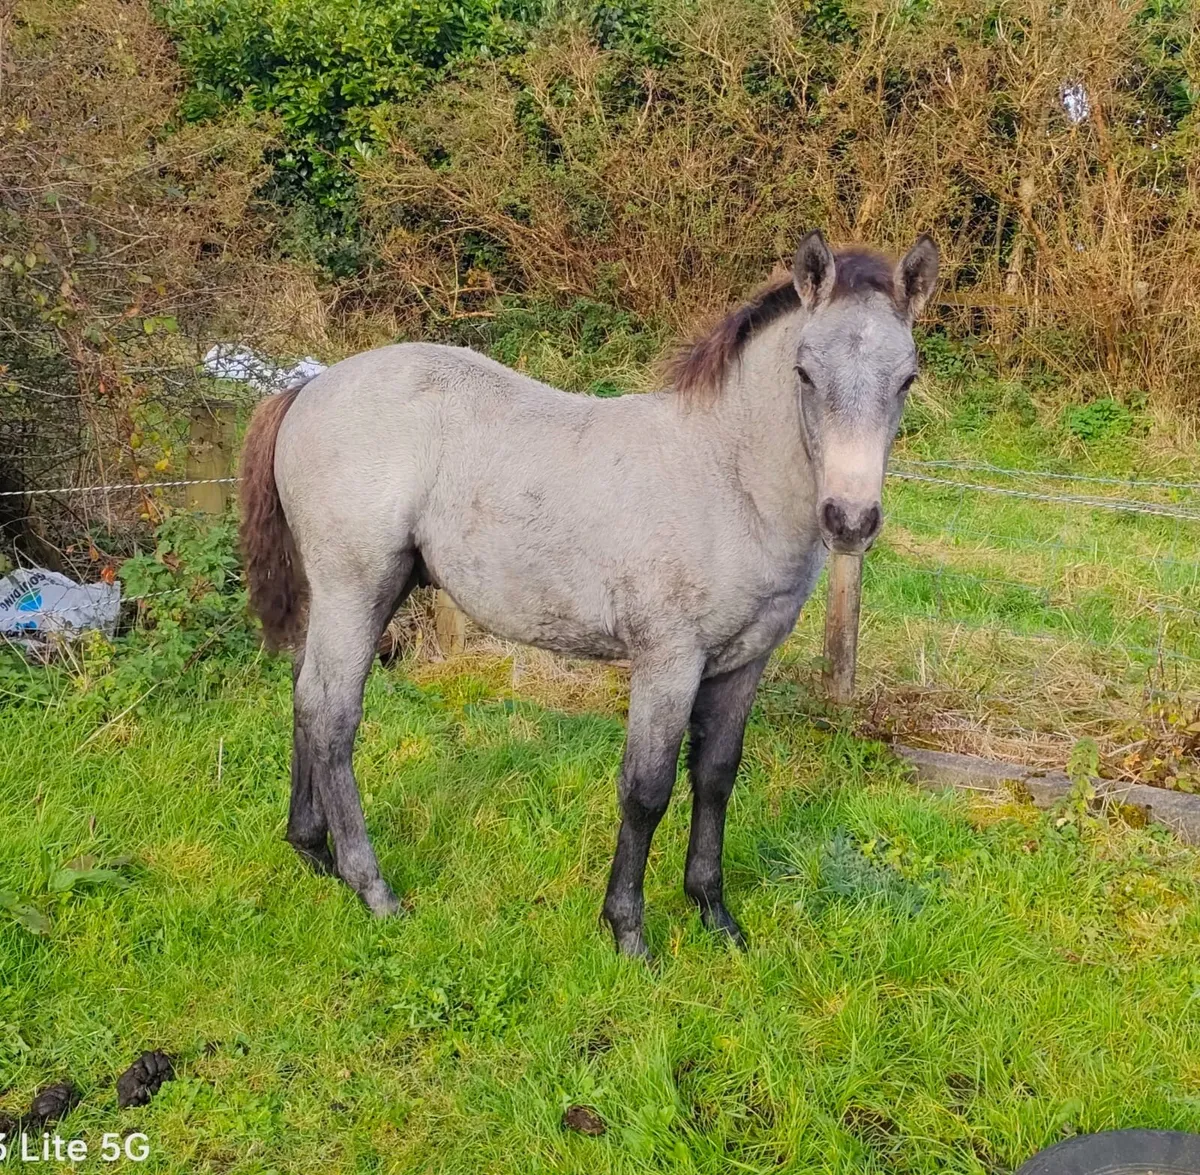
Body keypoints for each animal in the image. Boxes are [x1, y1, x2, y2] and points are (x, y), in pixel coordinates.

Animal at [238, 230, 938, 958]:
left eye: (907, 378)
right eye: (804, 371)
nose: (850, 520)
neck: (726, 478)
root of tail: (309, 386)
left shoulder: (743, 662)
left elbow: (716, 777)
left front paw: (714, 914)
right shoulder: (668, 660)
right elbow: (646, 789)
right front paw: (627, 929)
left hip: (349, 594)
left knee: (304, 694)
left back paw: (311, 850)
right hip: (356, 589)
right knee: (333, 716)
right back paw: (372, 887)